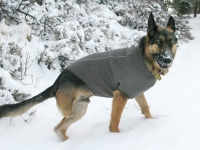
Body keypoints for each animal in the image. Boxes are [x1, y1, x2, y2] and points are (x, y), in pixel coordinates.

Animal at [0, 12, 177, 141]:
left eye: (171, 43)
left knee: (59, 128)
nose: (168, 60)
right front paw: (117, 139)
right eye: (159, 43)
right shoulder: (120, 96)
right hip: (72, 110)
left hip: (79, 109)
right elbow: (115, 123)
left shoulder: (136, 93)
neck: (144, 58)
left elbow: (146, 109)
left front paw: (151, 123)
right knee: (60, 125)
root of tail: (58, 81)